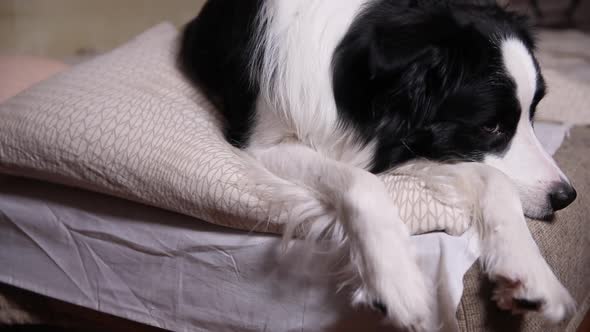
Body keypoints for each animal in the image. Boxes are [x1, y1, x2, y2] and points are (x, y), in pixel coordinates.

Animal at [179, 0, 580, 328]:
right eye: (490, 125)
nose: (566, 197)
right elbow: (360, 182)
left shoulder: (414, 141)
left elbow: (495, 180)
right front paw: (398, 282)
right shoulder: (259, 143)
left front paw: (530, 271)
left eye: (533, 113)